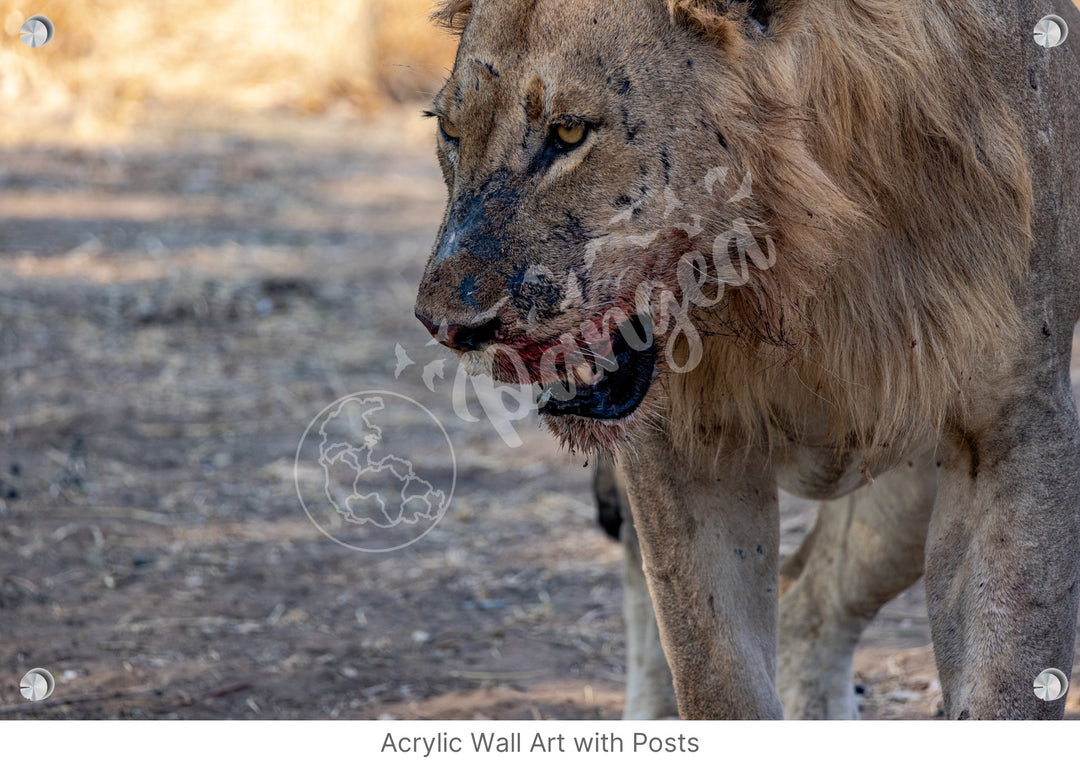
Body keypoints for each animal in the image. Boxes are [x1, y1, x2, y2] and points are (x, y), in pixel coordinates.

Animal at [410, 0, 1080, 721]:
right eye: (450, 130)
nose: (446, 326)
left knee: (811, 601)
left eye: (568, 131)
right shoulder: (684, 443)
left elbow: (1005, 681)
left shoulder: (1014, 422)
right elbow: (717, 675)